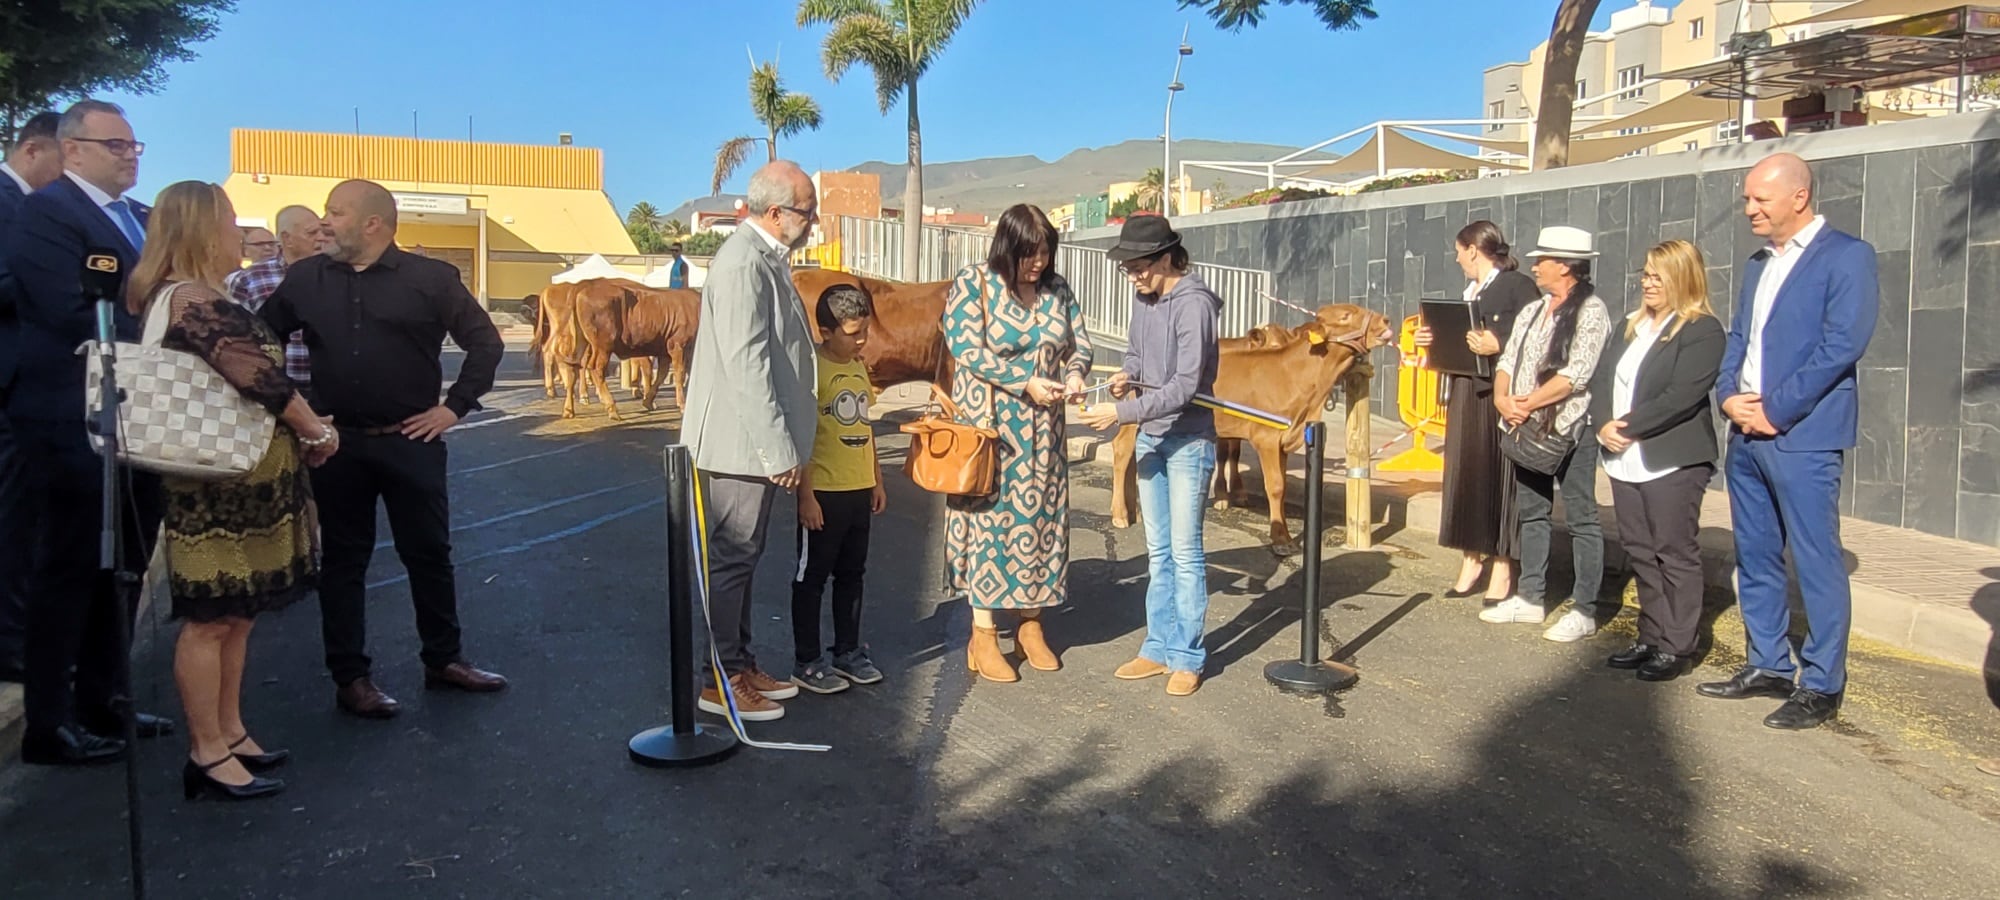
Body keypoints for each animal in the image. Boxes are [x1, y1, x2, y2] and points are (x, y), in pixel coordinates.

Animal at [564, 282, 704, 422]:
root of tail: (581, 290)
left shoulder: (664, 351)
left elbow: (662, 374)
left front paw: (648, 401)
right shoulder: (678, 345)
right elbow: (680, 375)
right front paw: (683, 405)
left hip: (582, 343)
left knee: (573, 367)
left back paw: (569, 409)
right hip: (603, 346)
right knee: (595, 368)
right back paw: (612, 409)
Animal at [1104, 304, 1400, 556]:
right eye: (1346, 315)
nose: (1386, 320)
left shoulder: (1285, 439)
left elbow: (1280, 484)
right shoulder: (1266, 437)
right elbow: (1276, 486)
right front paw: (1280, 540)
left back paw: (1134, 509)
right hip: (1134, 418)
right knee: (1121, 450)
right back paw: (1120, 514)